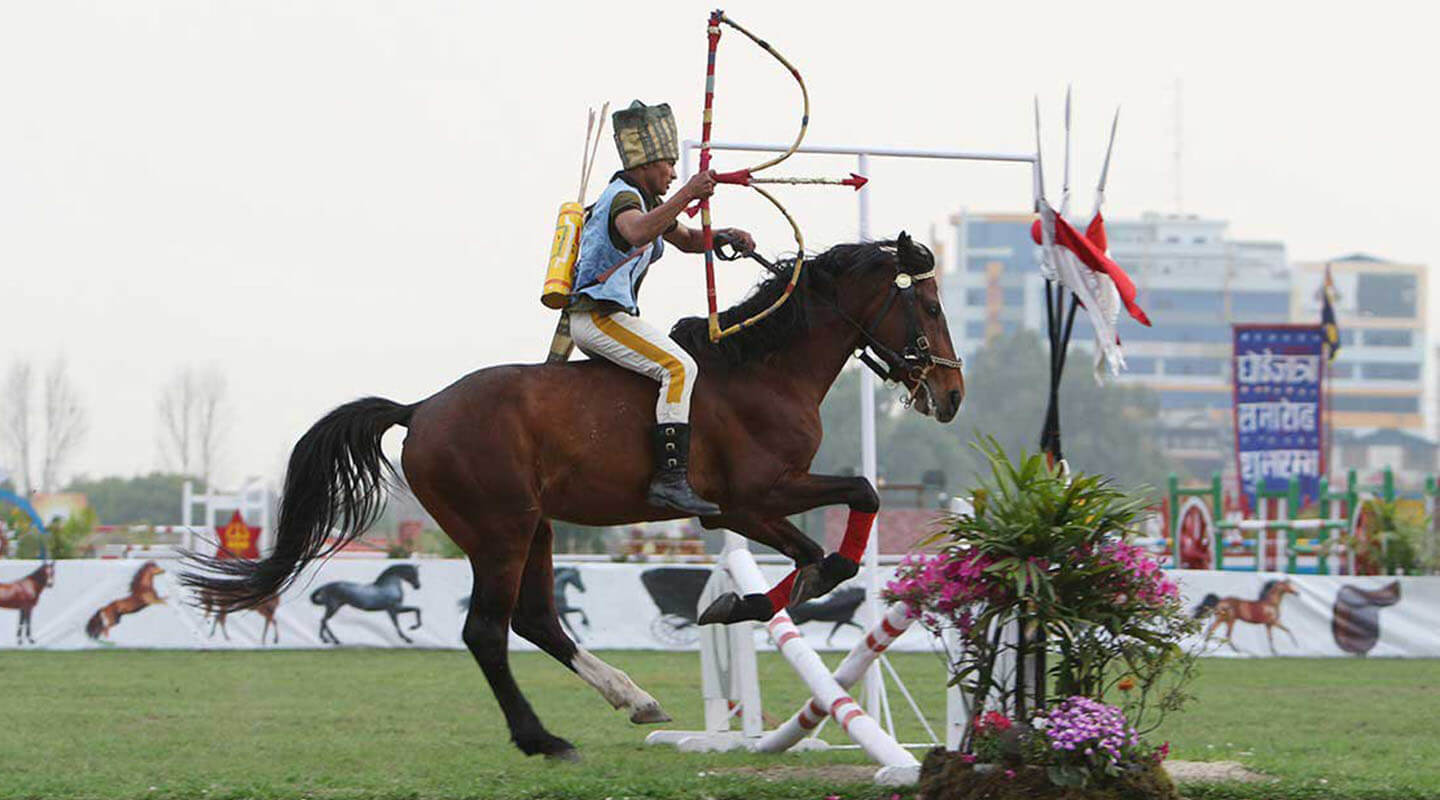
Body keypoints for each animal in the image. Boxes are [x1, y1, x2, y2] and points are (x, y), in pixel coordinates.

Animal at [184, 233, 964, 761]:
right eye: (928, 303)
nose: (952, 394)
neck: (763, 370)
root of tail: (422, 408)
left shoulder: (758, 505)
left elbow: (827, 543)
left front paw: (742, 603)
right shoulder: (750, 501)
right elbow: (844, 526)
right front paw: (741, 604)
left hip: (535, 528)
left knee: (536, 620)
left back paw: (632, 697)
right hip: (500, 531)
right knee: (487, 631)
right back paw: (542, 738)